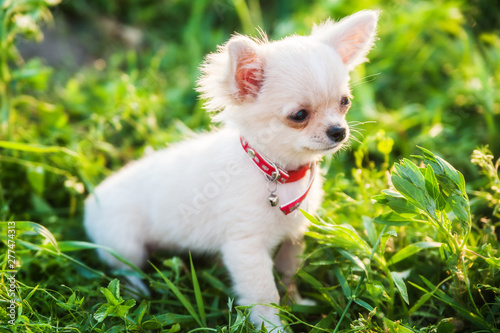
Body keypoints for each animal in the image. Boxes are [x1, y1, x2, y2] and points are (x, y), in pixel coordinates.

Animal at [84, 10, 376, 330]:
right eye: (299, 115)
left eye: (345, 102)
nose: (339, 131)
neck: (278, 173)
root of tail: (90, 201)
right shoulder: (245, 248)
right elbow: (264, 295)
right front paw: (274, 327)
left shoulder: (293, 237)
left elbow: (288, 275)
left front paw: (297, 303)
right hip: (124, 245)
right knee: (127, 270)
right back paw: (140, 291)